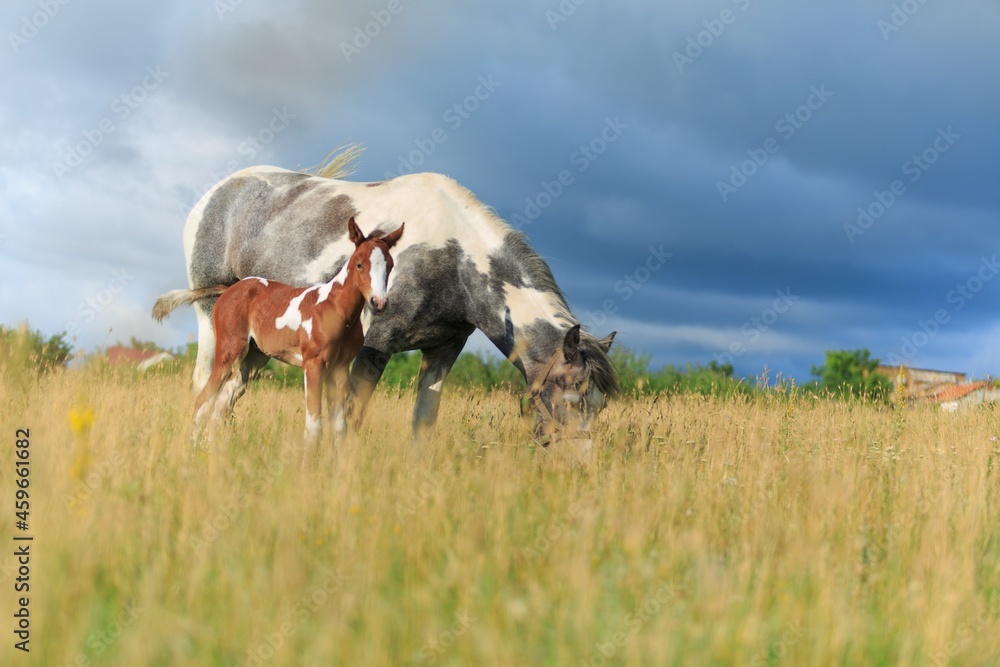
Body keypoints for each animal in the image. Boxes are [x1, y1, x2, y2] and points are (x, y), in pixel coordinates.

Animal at [152, 217, 402, 440]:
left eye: (390, 266)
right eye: (360, 264)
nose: (379, 302)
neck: (336, 308)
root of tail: (228, 290)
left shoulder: (339, 368)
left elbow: (339, 428)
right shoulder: (313, 364)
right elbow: (314, 426)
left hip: (253, 360)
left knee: (221, 405)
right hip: (229, 351)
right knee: (203, 401)